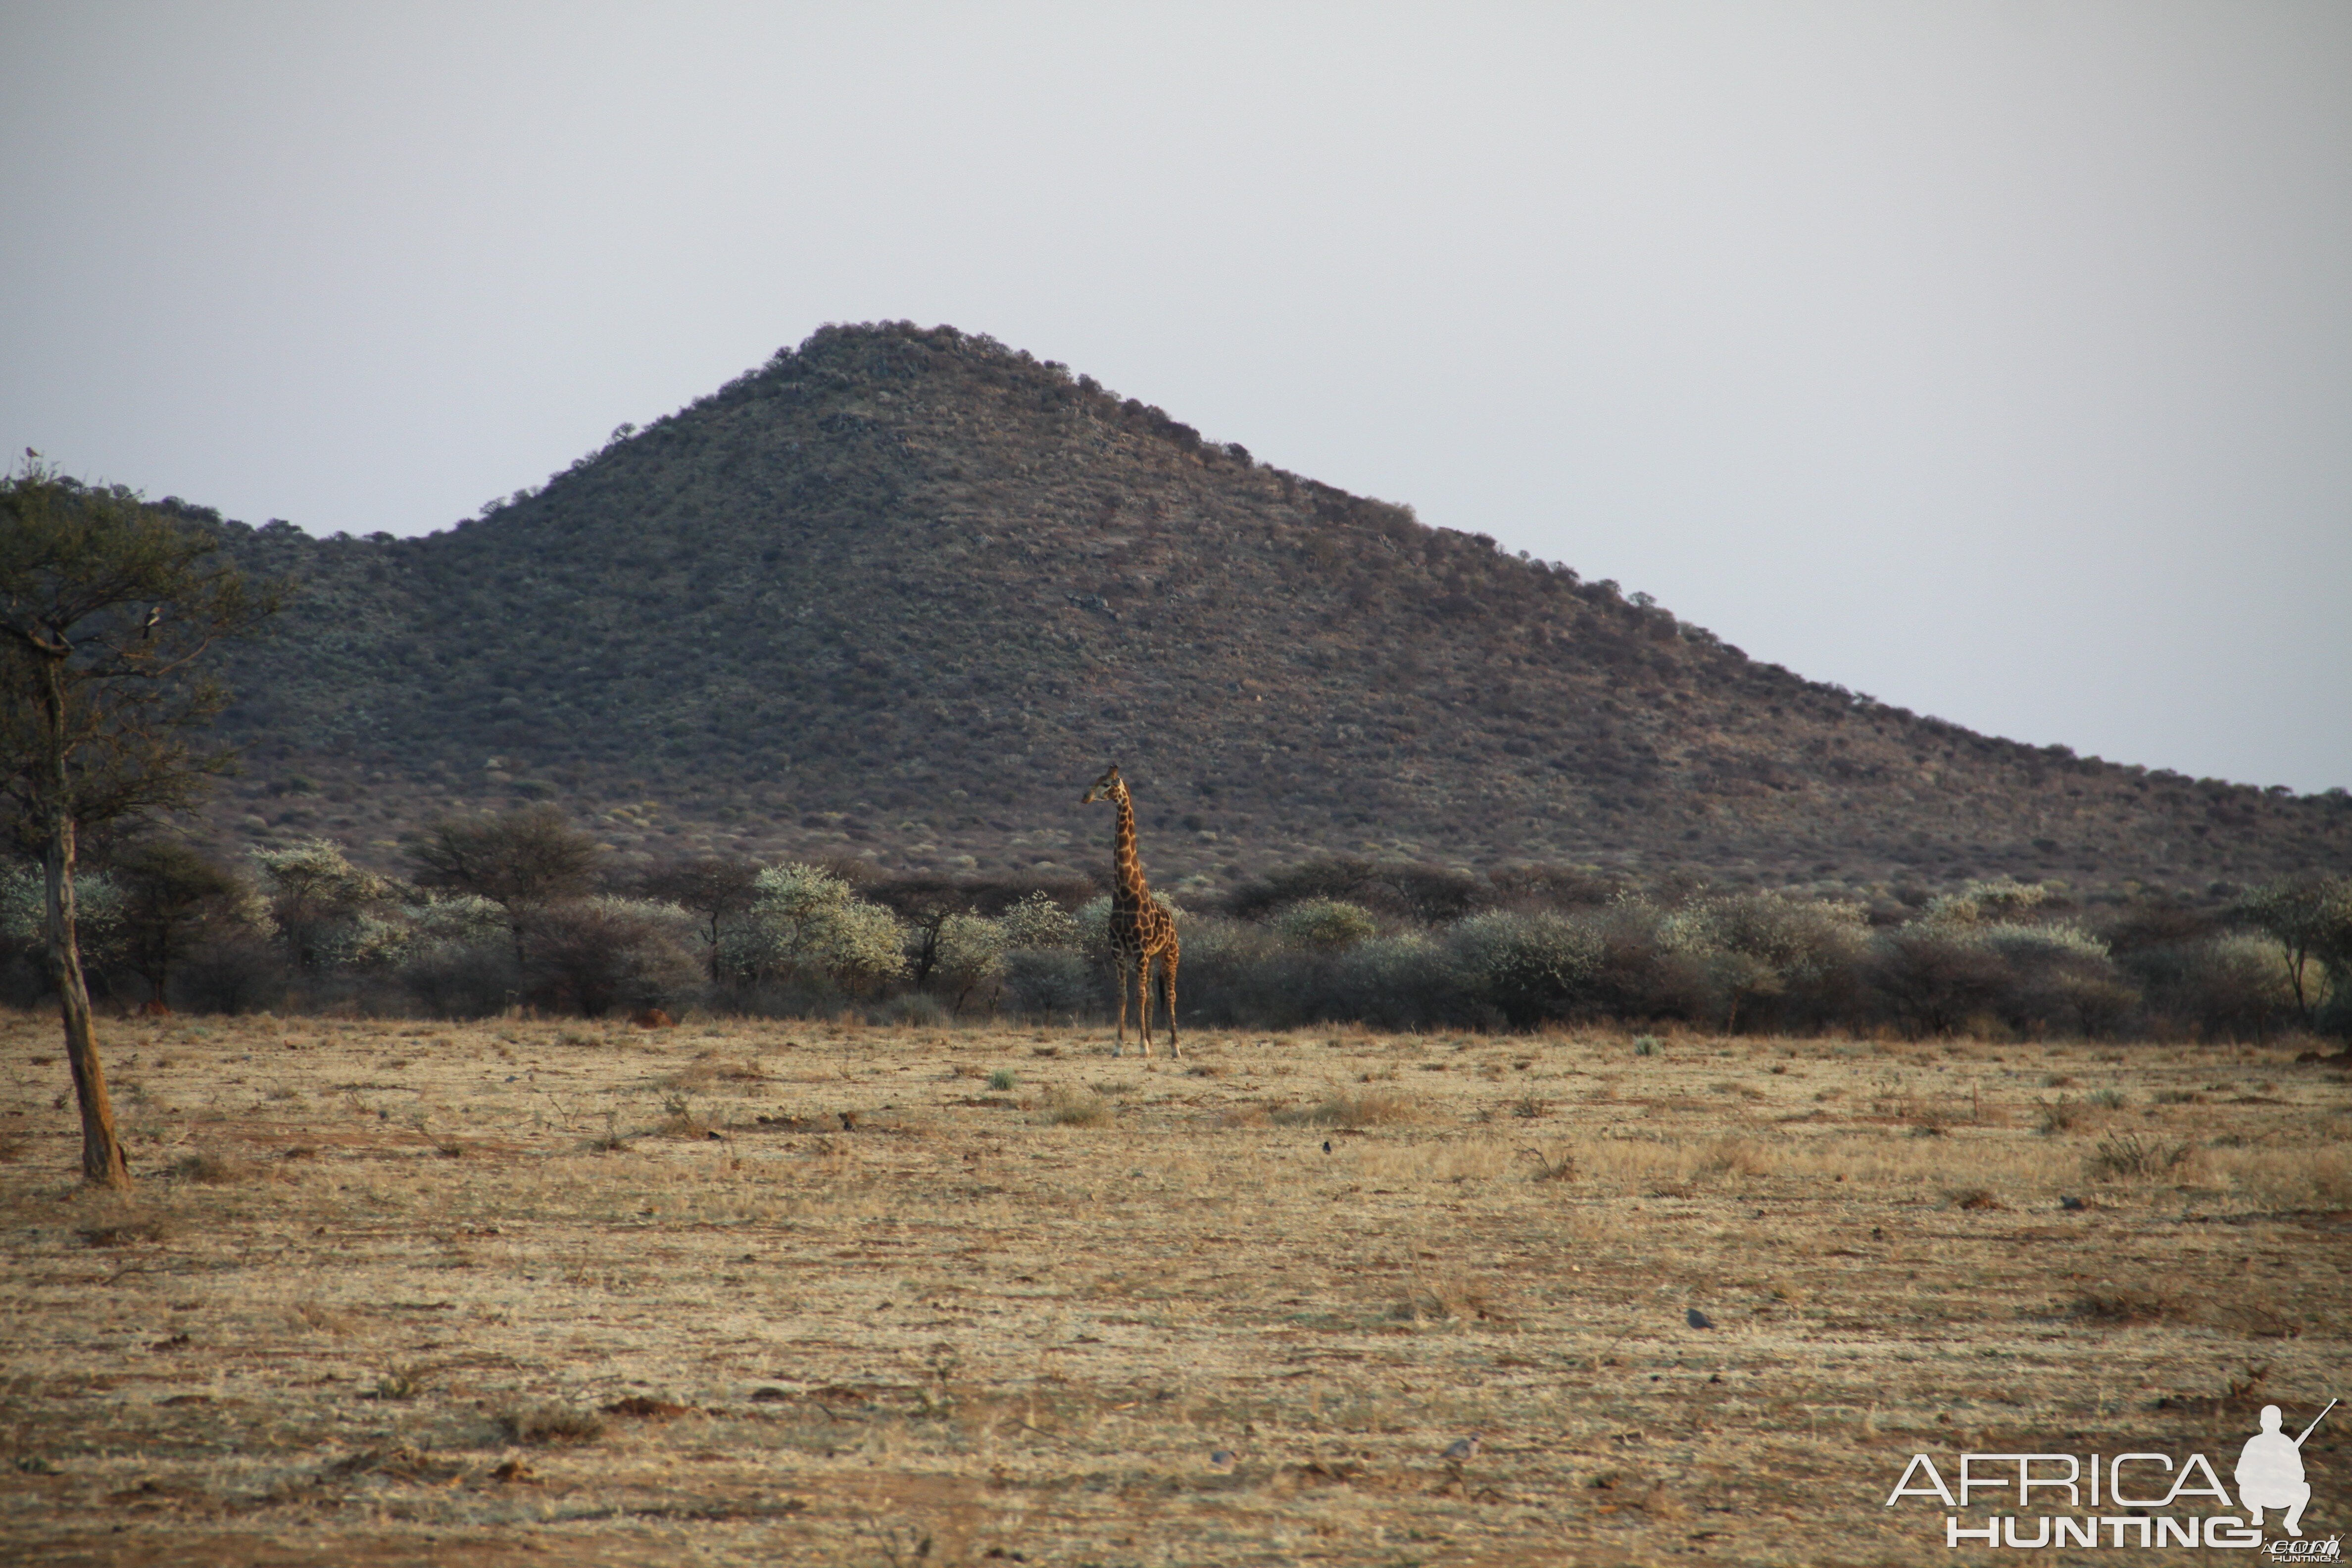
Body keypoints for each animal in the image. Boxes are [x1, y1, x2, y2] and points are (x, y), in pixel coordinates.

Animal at [1086, 761, 1185, 1062]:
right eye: (1094, 780)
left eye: (1108, 783)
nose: (1085, 797)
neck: (1125, 895)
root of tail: (1174, 925)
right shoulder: (1119, 950)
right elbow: (1124, 995)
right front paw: (1120, 1046)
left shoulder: (1140, 950)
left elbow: (1139, 995)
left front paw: (1142, 1046)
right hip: (1152, 958)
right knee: (1153, 995)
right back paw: (1153, 1040)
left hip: (1169, 954)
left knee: (1171, 995)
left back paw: (1175, 1047)